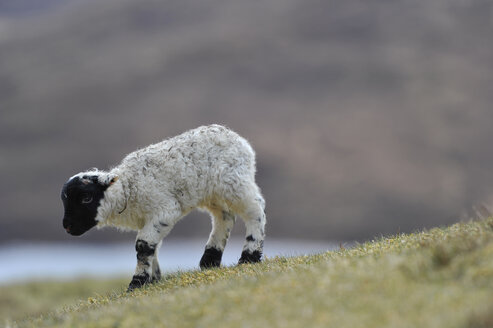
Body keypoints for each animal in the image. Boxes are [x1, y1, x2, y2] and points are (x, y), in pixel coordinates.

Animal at [63, 124, 268, 290]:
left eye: (86, 198)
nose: (67, 226)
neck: (128, 190)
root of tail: (239, 139)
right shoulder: (148, 220)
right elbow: (153, 247)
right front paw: (154, 279)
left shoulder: (164, 211)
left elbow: (143, 246)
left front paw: (137, 283)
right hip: (213, 194)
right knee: (224, 217)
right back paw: (210, 260)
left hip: (235, 183)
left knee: (255, 210)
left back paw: (249, 256)